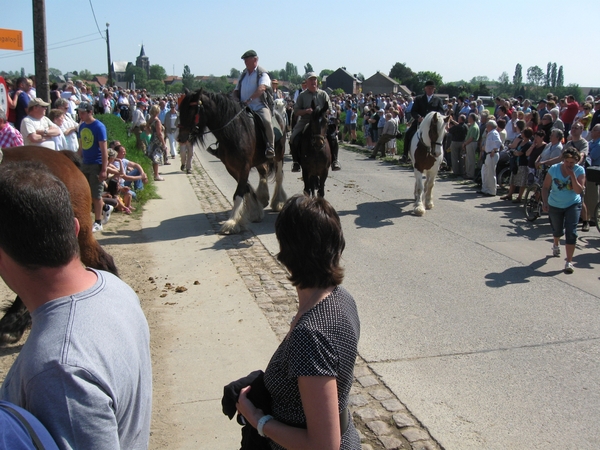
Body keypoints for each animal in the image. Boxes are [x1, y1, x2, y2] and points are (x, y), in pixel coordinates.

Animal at [177, 89, 288, 234]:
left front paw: (232, 222)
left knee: (279, 177)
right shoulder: (231, 167)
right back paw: (263, 197)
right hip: (259, 160)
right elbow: (245, 188)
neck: (234, 131)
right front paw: (254, 211)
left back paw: (278, 202)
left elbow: (238, 193)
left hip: (279, 155)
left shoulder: (244, 167)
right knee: (263, 173)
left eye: (191, 111)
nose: (180, 138)